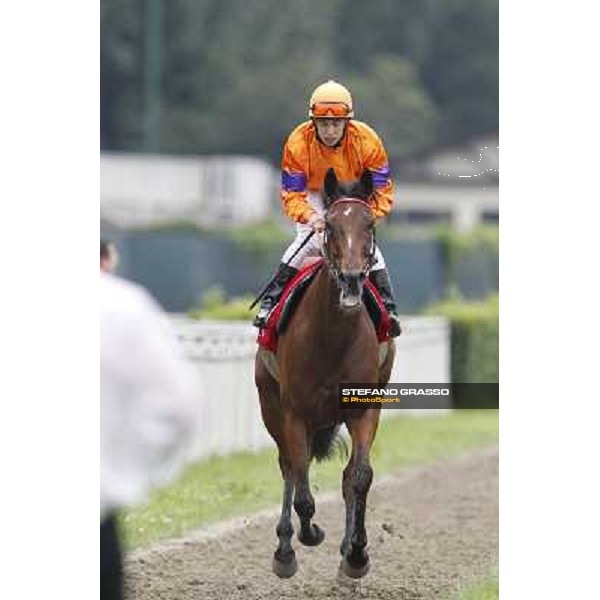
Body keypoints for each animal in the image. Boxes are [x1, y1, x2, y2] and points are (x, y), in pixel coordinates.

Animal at [255, 166, 396, 580]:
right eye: (330, 225)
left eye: (369, 224)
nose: (351, 279)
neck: (333, 338)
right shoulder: (294, 413)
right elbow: (302, 486)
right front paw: (309, 534)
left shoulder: (364, 408)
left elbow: (359, 476)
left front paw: (356, 554)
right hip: (270, 404)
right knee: (289, 467)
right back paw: (286, 549)